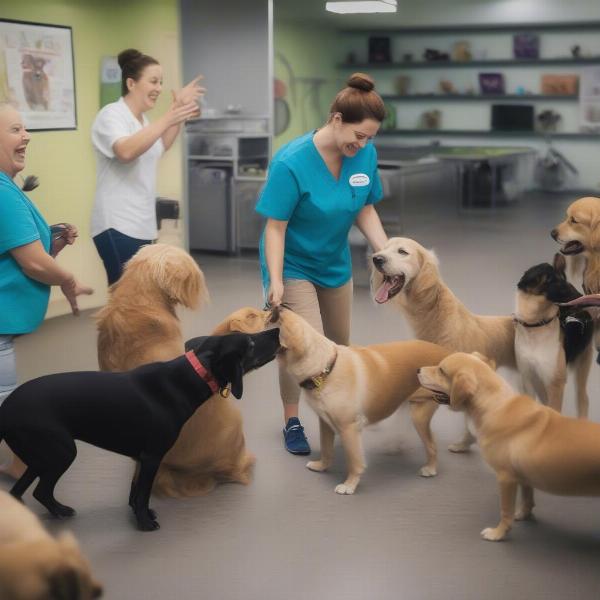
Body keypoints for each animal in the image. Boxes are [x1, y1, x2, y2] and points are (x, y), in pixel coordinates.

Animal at [0, 330, 282, 532]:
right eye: (251, 343)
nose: (277, 330)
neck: (189, 376)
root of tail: (5, 409)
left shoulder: (140, 457)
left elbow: (135, 491)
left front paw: (138, 515)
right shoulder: (152, 456)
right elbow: (144, 493)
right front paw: (145, 523)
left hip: (40, 458)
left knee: (18, 491)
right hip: (60, 452)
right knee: (40, 491)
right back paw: (59, 512)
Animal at [418, 352, 600, 544]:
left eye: (441, 370)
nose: (418, 370)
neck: (495, 406)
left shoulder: (506, 478)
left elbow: (506, 512)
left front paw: (498, 533)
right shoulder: (525, 476)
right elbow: (527, 498)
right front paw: (524, 514)